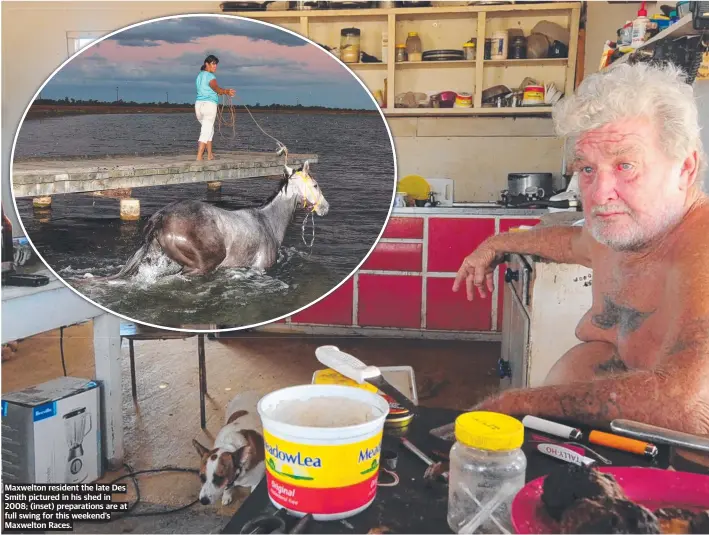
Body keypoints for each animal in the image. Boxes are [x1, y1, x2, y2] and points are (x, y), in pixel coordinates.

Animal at [105, 160, 330, 280]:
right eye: (316, 185)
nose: (325, 208)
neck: (268, 221)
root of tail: (161, 217)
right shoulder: (260, 268)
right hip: (200, 266)